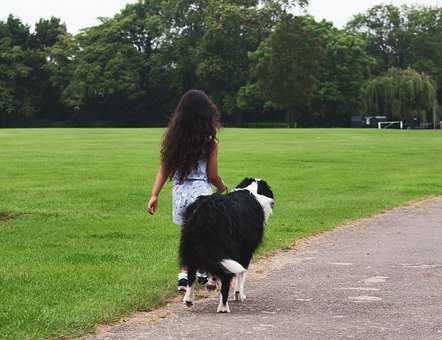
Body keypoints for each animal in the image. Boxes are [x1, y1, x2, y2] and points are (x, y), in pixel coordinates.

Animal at [179, 178, 274, 314]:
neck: (252, 191)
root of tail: (207, 209)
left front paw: (211, 284)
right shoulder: (245, 251)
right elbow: (241, 273)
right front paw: (239, 295)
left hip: (192, 245)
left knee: (191, 273)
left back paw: (188, 300)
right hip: (226, 246)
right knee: (226, 276)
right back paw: (223, 306)